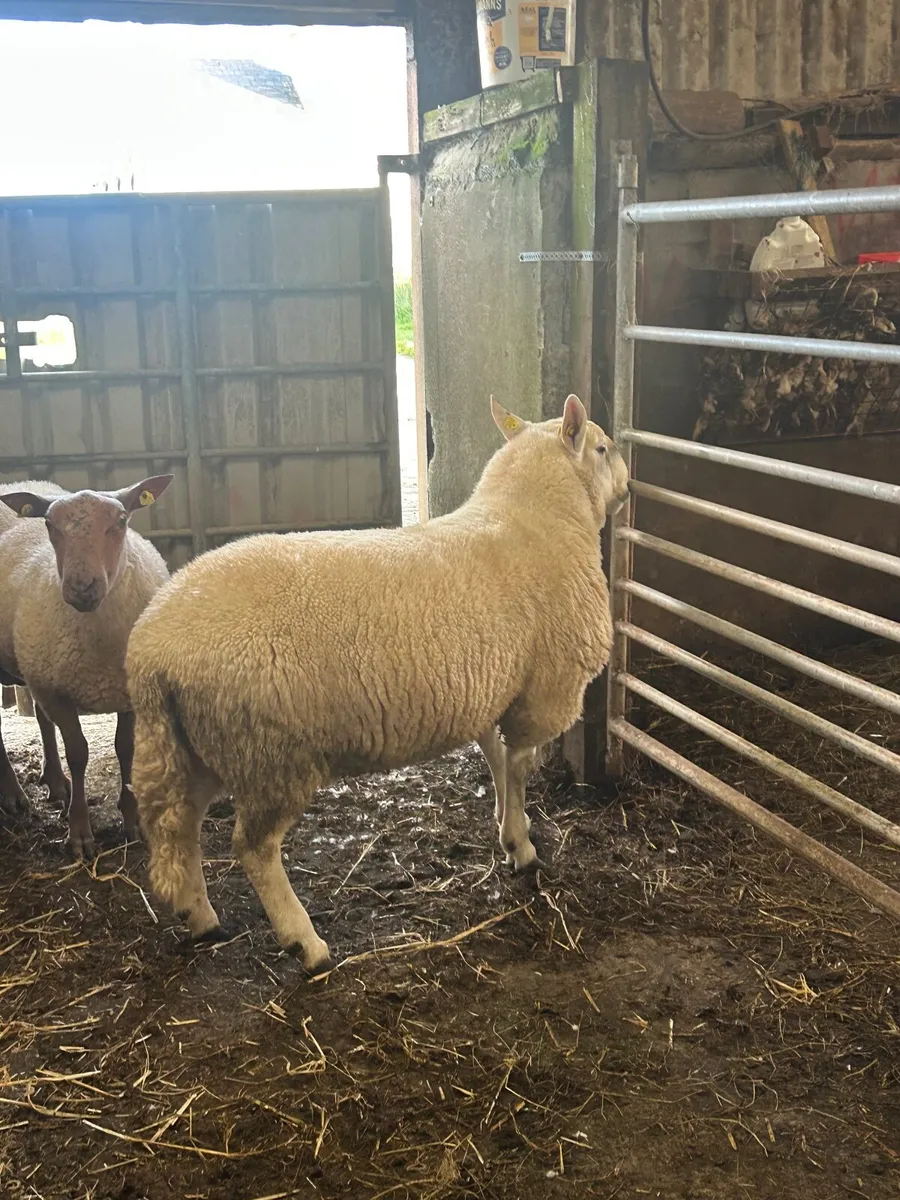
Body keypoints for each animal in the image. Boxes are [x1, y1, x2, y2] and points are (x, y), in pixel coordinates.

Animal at [0, 475, 173, 858]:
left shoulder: (124, 689)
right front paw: (79, 832)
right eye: (49, 524)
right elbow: (78, 754)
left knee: (40, 717)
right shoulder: (59, 692)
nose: (81, 587)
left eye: (121, 520)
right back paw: (15, 797)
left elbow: (125, 749)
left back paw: (55, 782)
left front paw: (132, 820)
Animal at [126, 394, 629, 972]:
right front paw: (521, 845)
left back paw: (200, 916)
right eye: (602, 447)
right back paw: (305, 943)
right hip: (270, 751)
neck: (536, 518)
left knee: (176, 827)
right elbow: (520, 769)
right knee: (253, 848)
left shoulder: (490, 690)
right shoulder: (542, 692)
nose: (629, 483)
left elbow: (496, 762)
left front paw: (504, 828)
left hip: (193, 746)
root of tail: (152, 648)